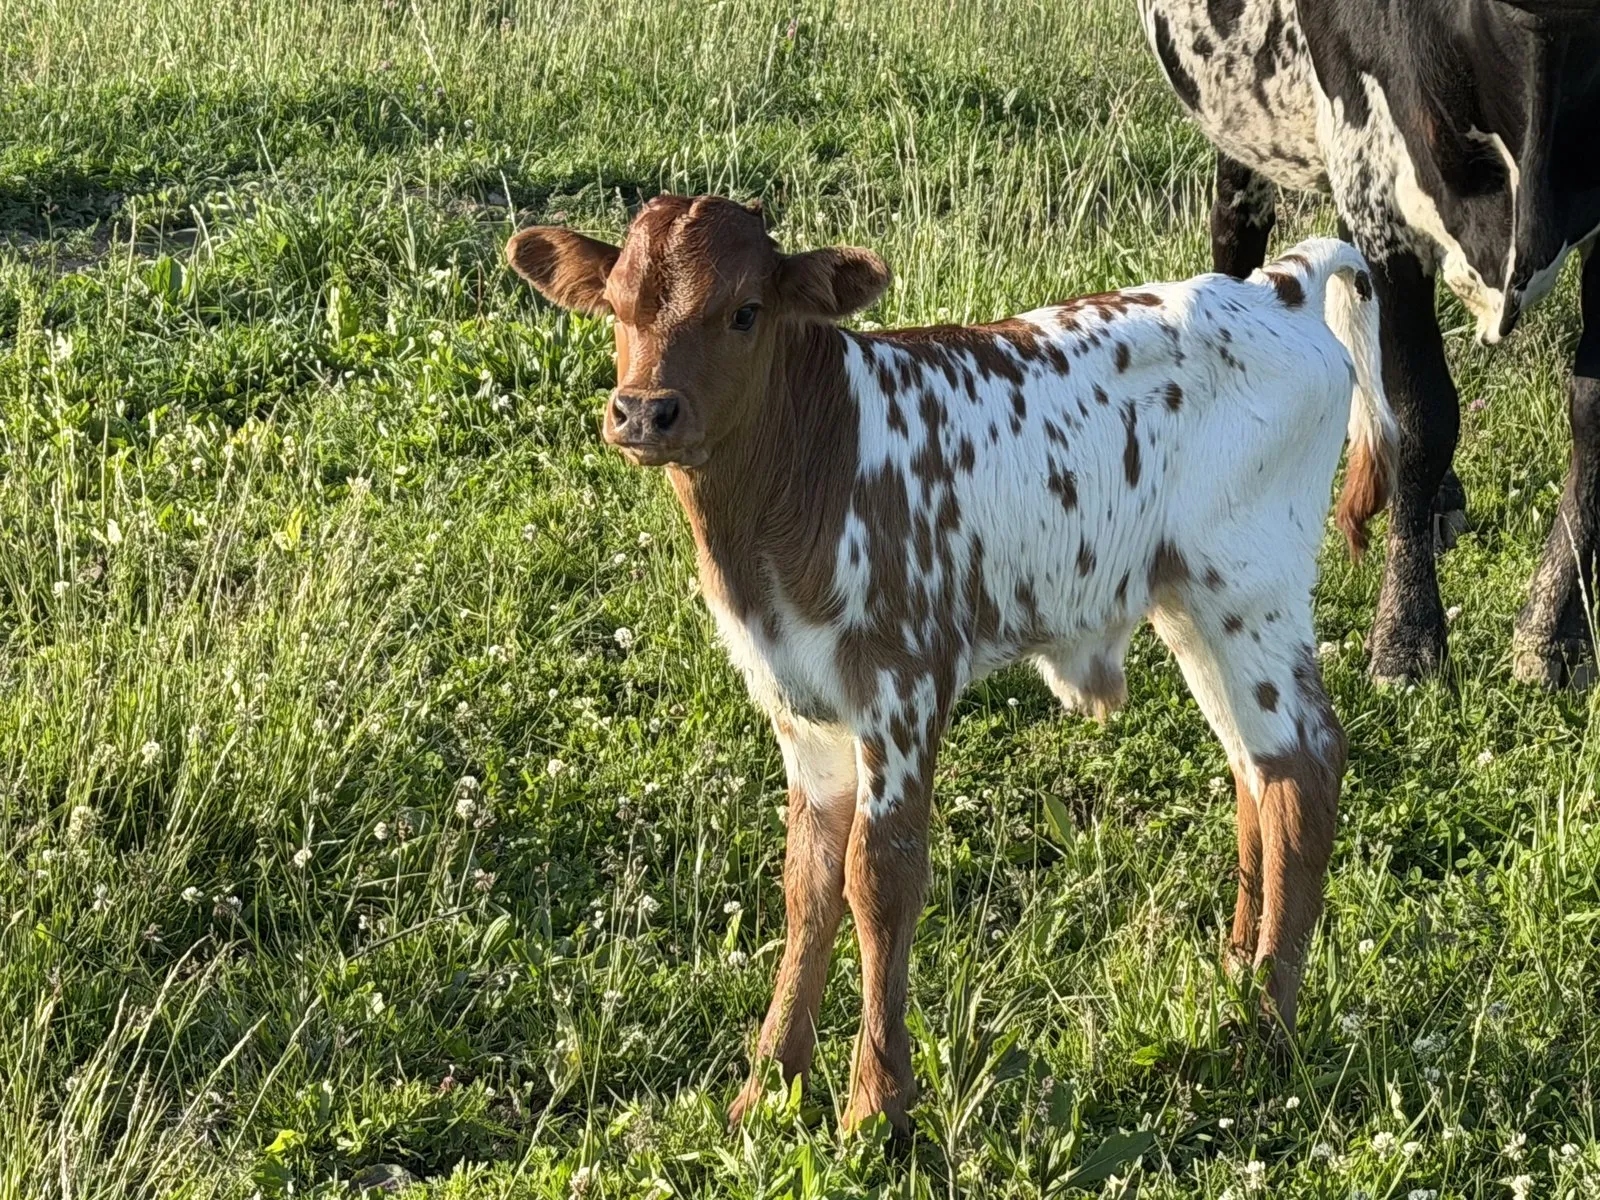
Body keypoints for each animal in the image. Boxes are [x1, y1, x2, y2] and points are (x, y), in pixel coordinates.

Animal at [506, 195, 1397, 1133]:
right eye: (615, 306)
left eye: (744, 311)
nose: (644, 411)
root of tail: (1274, 285)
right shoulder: (799, 705)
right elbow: (809, 879)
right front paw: (768, 1085)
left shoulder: (904, 680)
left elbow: (880, 876)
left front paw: (874, 1107)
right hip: (1190, 606)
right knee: (1252, 767)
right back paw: (1233, 975)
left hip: (1253, 589)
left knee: (1304, 766)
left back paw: (1267, 1025)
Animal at [1138, 0, 1600, 686]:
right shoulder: (1381, 205)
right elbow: (1425, 417)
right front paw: (1406, 637)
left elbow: (1590, 415)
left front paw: (1554, 633)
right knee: (1234, 234)